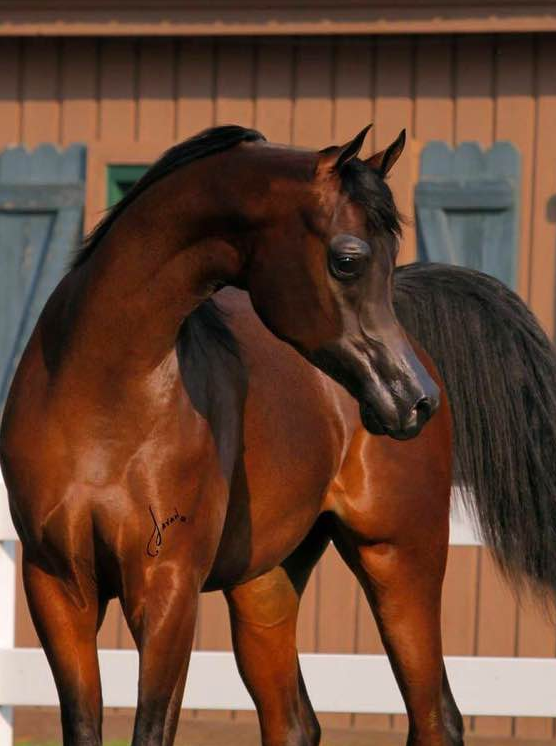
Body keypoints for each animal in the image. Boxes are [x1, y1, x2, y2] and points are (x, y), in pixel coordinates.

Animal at [2, 124, 556, 746]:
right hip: (265, 586)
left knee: (436, 715)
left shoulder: (168, 590)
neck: (103, 397)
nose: (412, 401)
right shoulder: (58, 586)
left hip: (399, 559)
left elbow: (152, 727)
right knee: (292, 721)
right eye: (347, 260)